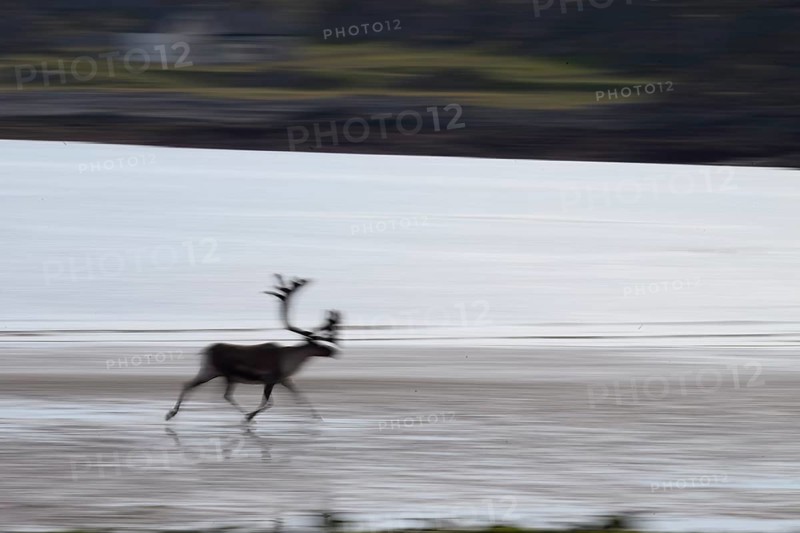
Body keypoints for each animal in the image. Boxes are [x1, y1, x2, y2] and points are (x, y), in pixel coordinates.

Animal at [165, 274, 341, 423]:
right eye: (319, 344)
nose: (333, 351)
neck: (290, 359)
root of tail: (207, 350)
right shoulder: (270, 379)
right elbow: (269, 402)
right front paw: (250, 416)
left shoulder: (284, 379)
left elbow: (299, 394)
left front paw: (317, 416)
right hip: (225, 374)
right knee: (222, 394)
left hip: (212, 371)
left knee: (190, 385)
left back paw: (173, 413)